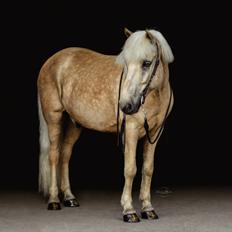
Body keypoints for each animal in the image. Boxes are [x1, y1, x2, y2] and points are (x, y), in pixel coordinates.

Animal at [36, 28, 174, 222]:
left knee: (65, 155)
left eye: (146, 63)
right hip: (53, 118)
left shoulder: (154, 134)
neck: (154, 96)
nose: (126, 106)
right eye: (126, 63)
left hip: (74, 124)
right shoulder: (131, 131)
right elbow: (130, 169)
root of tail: (51, 60)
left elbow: (148, 169)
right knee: (54, 156)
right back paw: (54, 200)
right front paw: (129, 210)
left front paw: (148, 208)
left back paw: (70, 198)